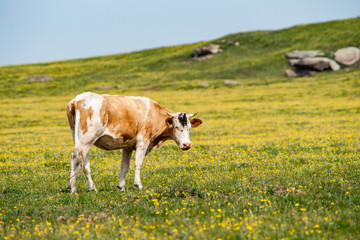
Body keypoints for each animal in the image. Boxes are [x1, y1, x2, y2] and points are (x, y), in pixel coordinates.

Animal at [67, 92, 202, 193]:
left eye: (189, 128)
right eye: (176, 127)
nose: (187, 145)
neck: (155, 114)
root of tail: (77, 99)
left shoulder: (127, 146)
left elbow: (124, 166)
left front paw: (120, 187)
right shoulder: (143, 142)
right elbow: (138, 163)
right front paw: (138, 185)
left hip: (78, 139)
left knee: (76, 159)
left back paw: (73, 188)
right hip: (87, 139)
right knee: (84, 163)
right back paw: (92, 187)